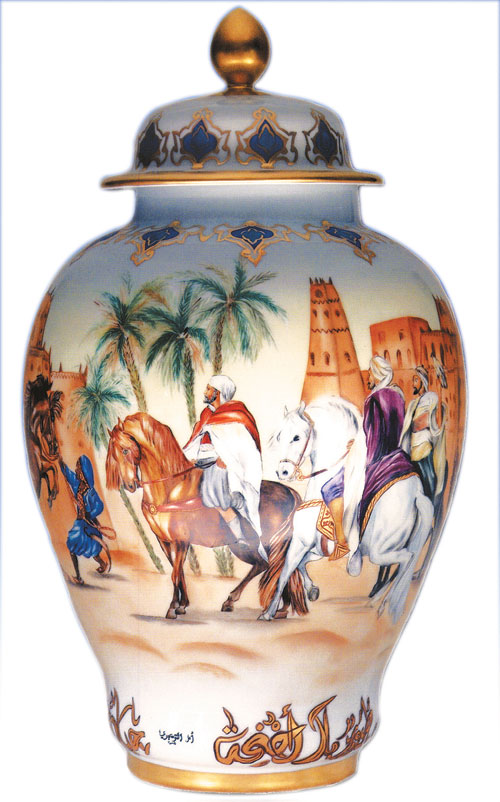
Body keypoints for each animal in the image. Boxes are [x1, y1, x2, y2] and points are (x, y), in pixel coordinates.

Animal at [24, 374, 63, 507]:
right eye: (52, 417)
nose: (55, 446)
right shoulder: (42, 465)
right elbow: (54, 467)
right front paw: (53, 494)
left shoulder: (42, 467)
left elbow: (53, 469)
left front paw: (51, 495)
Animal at [106, 413, 306, 620]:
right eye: (113, 453)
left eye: (125, 450)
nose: (129, 485)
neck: (171, 488)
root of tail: (290, 492)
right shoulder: (165, 541)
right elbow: (179, 572)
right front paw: (182, 604)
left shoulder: (181, 541)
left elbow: (175, 574)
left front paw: (172, 608)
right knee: (267, 566)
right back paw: (268, 607)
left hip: (267, 544)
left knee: (277, 568)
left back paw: (268, 609)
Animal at [260, 397, 433, 624]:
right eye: (280, 436)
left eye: (297, 437)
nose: (283, 471)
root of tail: (417, 494)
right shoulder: (316, 550)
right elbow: (300, 566)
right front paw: (312, 590)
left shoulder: (301, 541)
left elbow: (284, 573)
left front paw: (268, 612)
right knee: (406, 561)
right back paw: (378, 602)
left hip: (379, 551)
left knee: (407, 559)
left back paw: (382, 603)